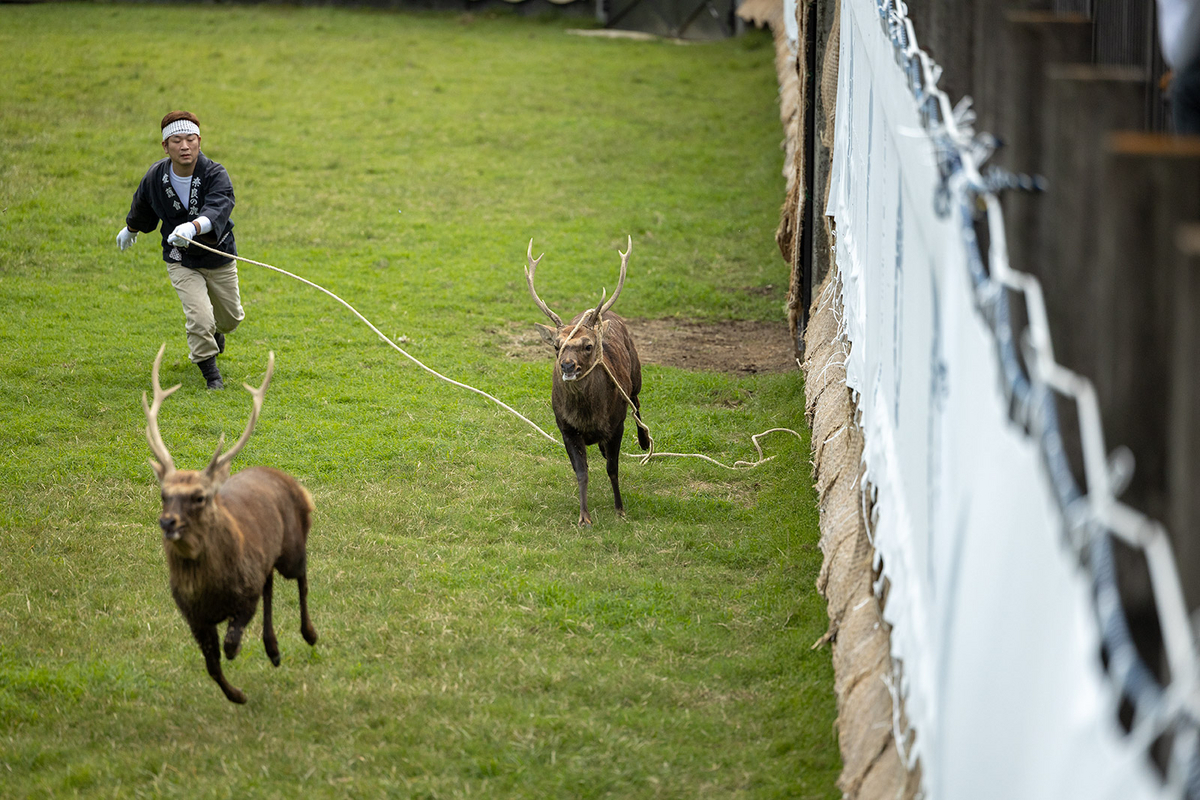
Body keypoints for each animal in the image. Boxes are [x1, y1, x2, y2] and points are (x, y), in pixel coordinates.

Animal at [139, 347, 316, 705]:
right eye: (164, 494)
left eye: (200, 496)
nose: (167, 521)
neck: (209, 592)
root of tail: (284, 477)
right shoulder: (192, 616)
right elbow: (211, 665)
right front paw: (237, 696)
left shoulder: (245, 596)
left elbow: (231, 643)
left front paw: (239, 663)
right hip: (266, 559)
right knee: (270, 583)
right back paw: (273, 650)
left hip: (293, 545)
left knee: (301, 576)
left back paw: (309, 634)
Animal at [528, 237, 652, 525]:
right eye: (557, 346)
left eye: (588, 345)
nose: (567, 365)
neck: (589, 417)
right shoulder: (566, 427)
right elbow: (582, 472)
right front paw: (584, 517)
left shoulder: (616, 423)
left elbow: (612, 468)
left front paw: (620, 509)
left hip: (636, 372)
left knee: (636, 400)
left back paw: (644, 441)